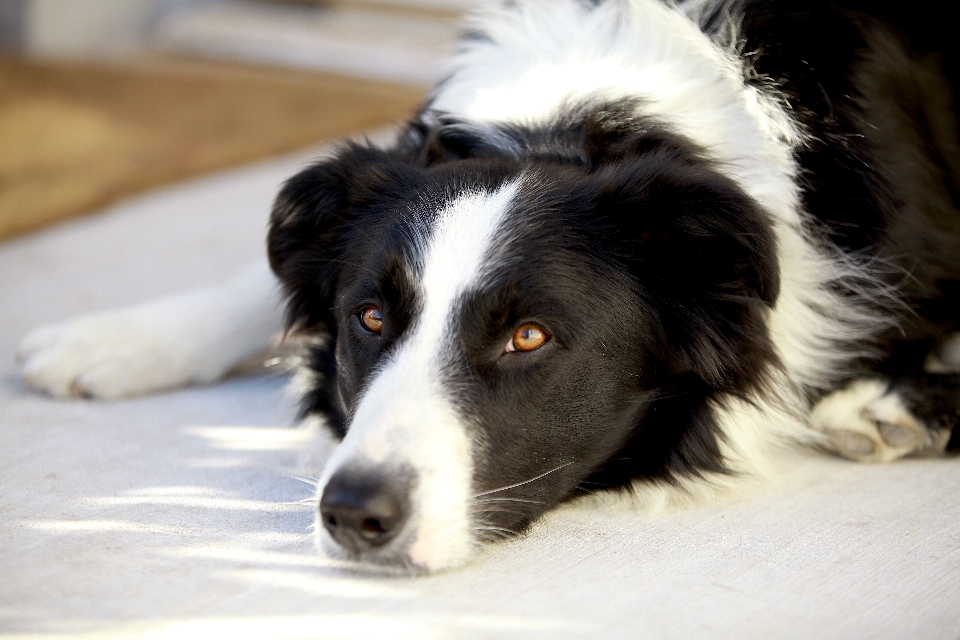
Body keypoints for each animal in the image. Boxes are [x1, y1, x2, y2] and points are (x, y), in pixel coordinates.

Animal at [15, 0, 960, 568]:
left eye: (528, 337)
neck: (570, 119)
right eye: (368, 318)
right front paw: (111, 340)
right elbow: (259, 280)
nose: (354, 514)